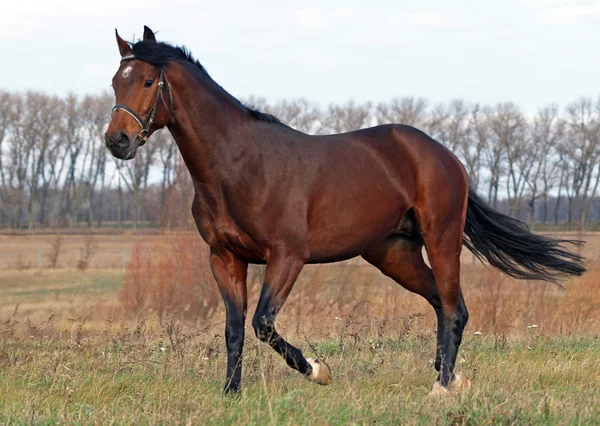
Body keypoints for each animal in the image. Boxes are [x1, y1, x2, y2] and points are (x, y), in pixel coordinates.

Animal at [104, 25, 584, 392]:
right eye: (115, 81)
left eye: (147, 81)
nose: (117, 141)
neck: (238, 165)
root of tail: (444, 155)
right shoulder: (224, 258)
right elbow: (235, 330)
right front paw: (230, 393)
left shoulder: (287, 257)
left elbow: (263, 323)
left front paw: (318, 370)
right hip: (394, 254)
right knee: (445, 304)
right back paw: (448, 377)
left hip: (442, 238)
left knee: (452, 307)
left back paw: (442, 387)